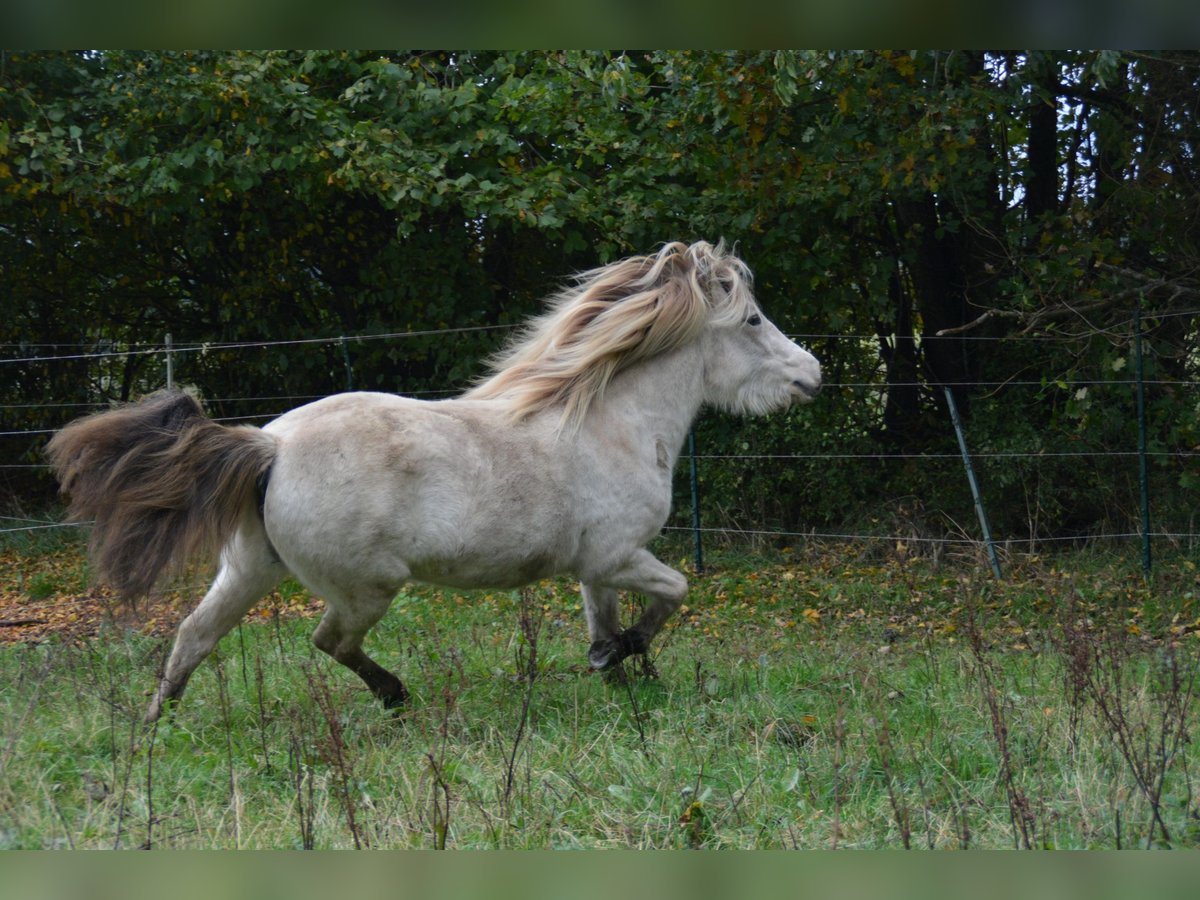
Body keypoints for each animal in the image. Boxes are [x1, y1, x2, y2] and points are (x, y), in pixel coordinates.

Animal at [47, 240, 822, 722]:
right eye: (753, 319)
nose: (811, 374)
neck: (611, 423)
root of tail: (271, 444)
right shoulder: (619, 556)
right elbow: (676, 593)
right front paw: (626, 655)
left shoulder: (595, 567)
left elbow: (609, 622)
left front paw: (621, 670)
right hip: (366, 587)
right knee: (328, 642)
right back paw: (395, 697)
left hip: (248, 571)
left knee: (192, 637)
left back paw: (153, 729)